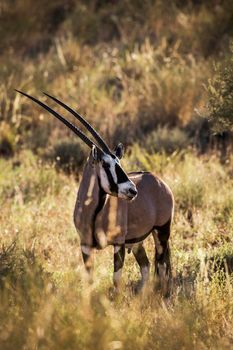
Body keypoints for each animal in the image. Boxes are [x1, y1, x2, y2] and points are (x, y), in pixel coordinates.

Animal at [15, 89, 173, 296]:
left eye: (118, 162)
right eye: (105, 164)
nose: (132, 190)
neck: (94, 213)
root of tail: (159, 182)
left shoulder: (118, 244)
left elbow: (116, 280)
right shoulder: (86, 246)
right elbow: (89, 281)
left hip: (161, 232)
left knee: (162, 268)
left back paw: (164, 296)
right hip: (136, 242)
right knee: (146, 267)